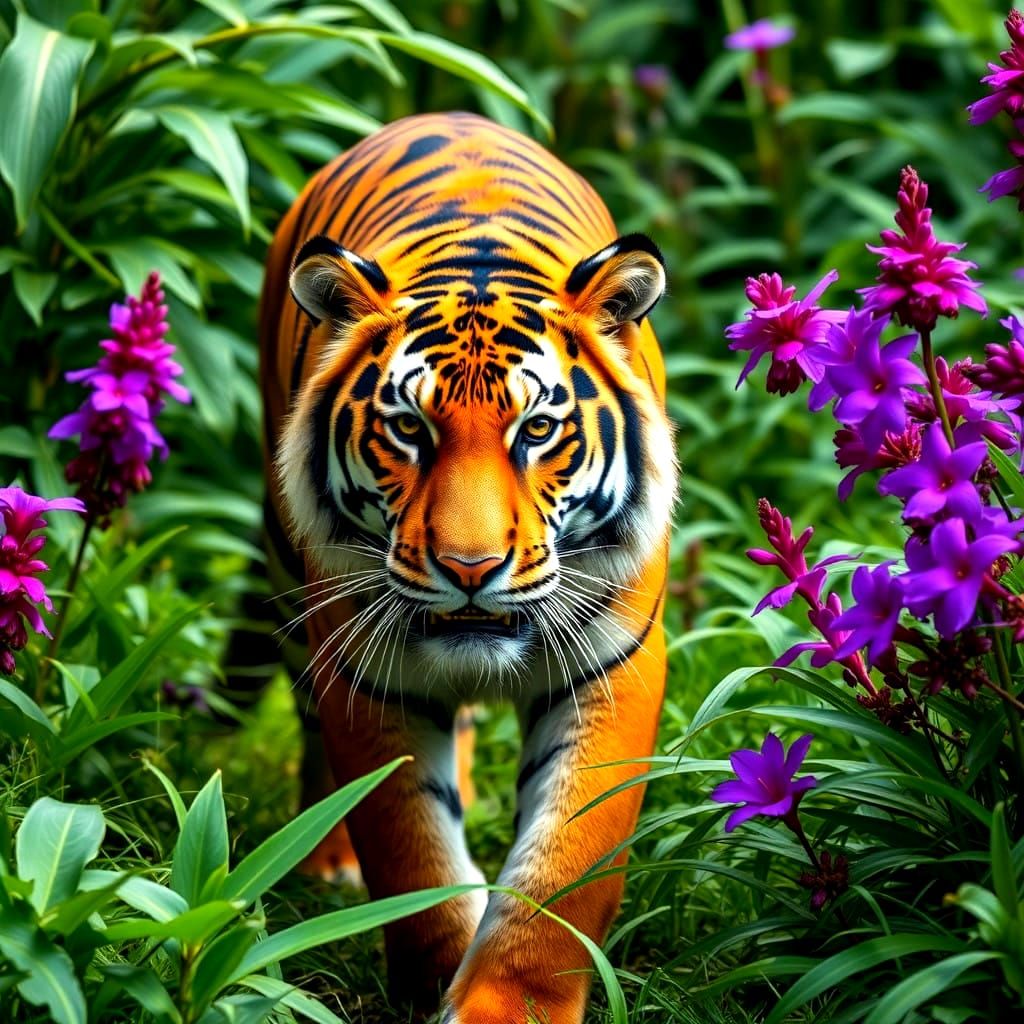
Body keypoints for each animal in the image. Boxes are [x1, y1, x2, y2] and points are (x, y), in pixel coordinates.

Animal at [259, 110, 676, 1023]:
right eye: (409, 429)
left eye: (538, 430)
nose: (471, 567)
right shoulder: (370, 672)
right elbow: (409, 847)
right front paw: (435, 971)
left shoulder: (615, 666)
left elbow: (567, 861)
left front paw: (502, 1003)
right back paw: (325, 858)